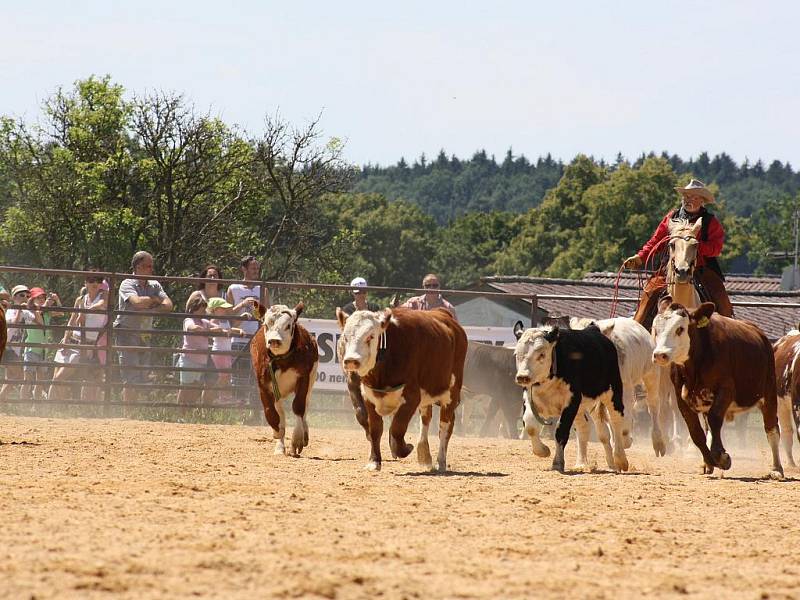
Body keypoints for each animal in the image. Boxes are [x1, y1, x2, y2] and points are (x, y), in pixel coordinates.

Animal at [250, 302, 318, 458]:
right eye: (266, 324)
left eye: (288, 325)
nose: (274, 341)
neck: (282, 360)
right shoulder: (264, 385)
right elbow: (272, 414)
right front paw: (278, 435)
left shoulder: (304, 378)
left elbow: (298, 406)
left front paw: (297, 440)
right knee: (280, 412)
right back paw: (280, 446)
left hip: (311, 381)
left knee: (305, 406)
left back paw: (304, 434)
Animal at [332, 308, 468, 472]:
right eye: (345, 337)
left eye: (371, 336)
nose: (351, 360)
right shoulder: (368, 398)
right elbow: (375, 429)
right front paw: (374, 462)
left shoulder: (411, 398)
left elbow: (398, 427)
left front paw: (405, 448)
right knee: (426, 418)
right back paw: (424, 454)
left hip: (451, 393)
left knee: (445, 426)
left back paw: (440, 462)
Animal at [648, 296, 780, 478]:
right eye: (656, 329)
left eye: (680, 329)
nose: (660, 355)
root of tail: (761, 335)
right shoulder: (681, 399)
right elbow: (696, 432)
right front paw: (710, 460)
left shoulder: (725, 390)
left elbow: (715, 419)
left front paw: (721, 457)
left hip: (769, 392)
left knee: (772, 429)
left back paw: (777, 469)